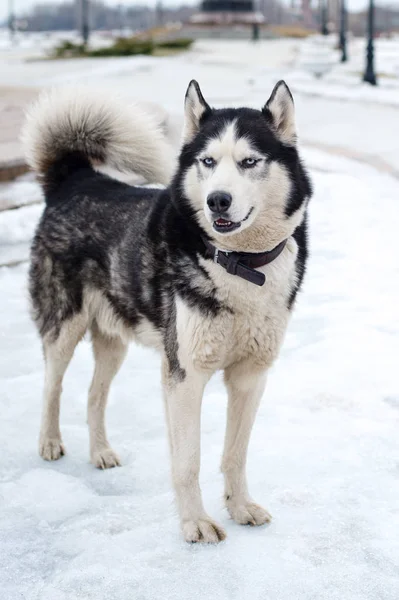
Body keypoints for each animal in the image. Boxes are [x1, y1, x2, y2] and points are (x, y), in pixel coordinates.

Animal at [24, 79, 312, 544]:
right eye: (207, 161)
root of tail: (79, 177)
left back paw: (101, 451)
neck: (240, 266)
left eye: (249, 161)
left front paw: (240, 507)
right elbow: (188, 461)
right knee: (53, 386)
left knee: (94, 395)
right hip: (63, 327)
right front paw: (195, 523)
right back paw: (49, 442)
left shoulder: (250, 377)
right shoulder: (185, 374)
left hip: (114, 340)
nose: (217, 200)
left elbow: (235, 454)